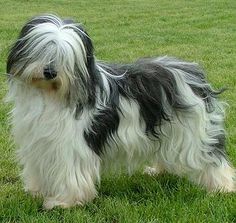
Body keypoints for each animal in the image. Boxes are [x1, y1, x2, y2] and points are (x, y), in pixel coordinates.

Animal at [6, 13, 235, 209]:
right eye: (43, 50)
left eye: (66, 58)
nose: (50, 72)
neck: (49, 95)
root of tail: (193, 73)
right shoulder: (39, 142)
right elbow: (38, 168)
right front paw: (36, 191)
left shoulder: (71, 146)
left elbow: (70, 175)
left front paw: (65, 202)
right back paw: (158, 171)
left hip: (194, 134)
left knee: (213, 160)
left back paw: (223, 187)